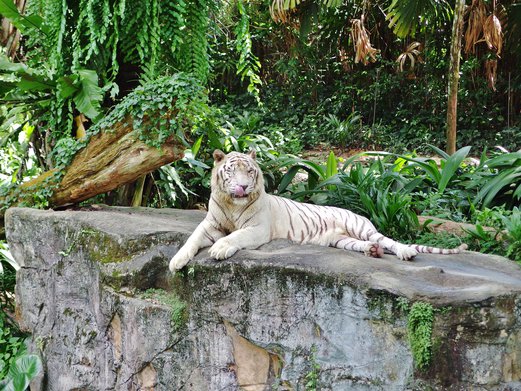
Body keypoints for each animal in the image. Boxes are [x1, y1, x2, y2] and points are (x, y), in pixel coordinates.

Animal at [169, 150, 466, 272]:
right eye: (232, 171)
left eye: (249, 172)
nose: (242, 186)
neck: (233, 205)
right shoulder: (210, 224)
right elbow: (192, 239)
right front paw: (175, 262)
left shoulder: (257, 228)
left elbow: (235, 237)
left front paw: (219, 249)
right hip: (342, 240)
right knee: (369, 245)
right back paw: (372, 252)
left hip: (361, 226)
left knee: (390, 241)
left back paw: (404, 252)